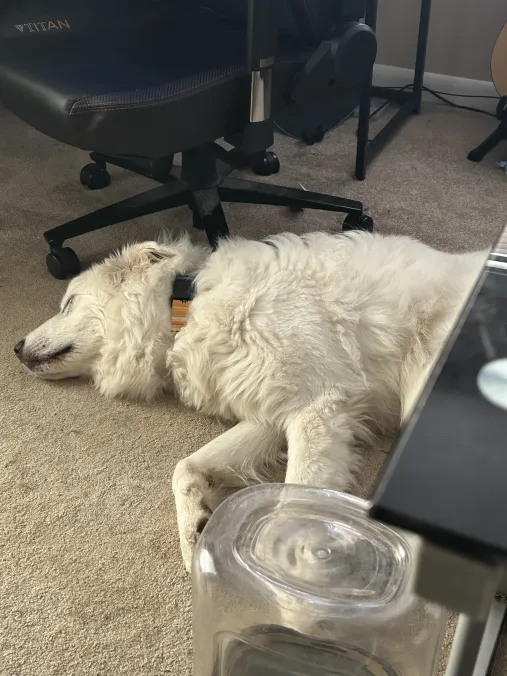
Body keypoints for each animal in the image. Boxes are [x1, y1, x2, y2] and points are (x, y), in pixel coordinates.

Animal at [14, 232, 488, 572]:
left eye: (68, 303)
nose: (16, 347)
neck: (187, 307)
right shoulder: (270, 415)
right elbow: (185, 468)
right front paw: (194, 529)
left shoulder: (317, 413)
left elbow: (293, 509)